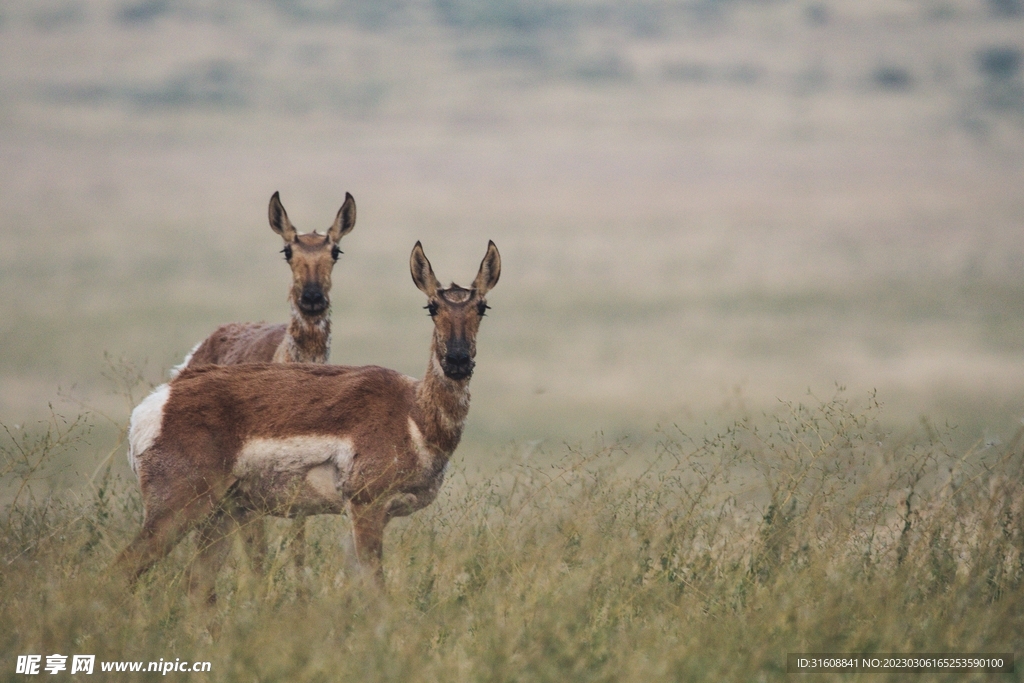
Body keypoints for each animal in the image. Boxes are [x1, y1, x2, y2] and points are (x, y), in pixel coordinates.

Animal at [116, 239, 499, 598]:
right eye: (432, 306)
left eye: (482, 306)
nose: (458, 361)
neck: (412, 412)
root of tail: (158, 402)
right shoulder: (366, 508)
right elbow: (376, 590)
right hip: (178, 509)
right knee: (122, 569)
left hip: (220, 515)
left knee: (196, 587)